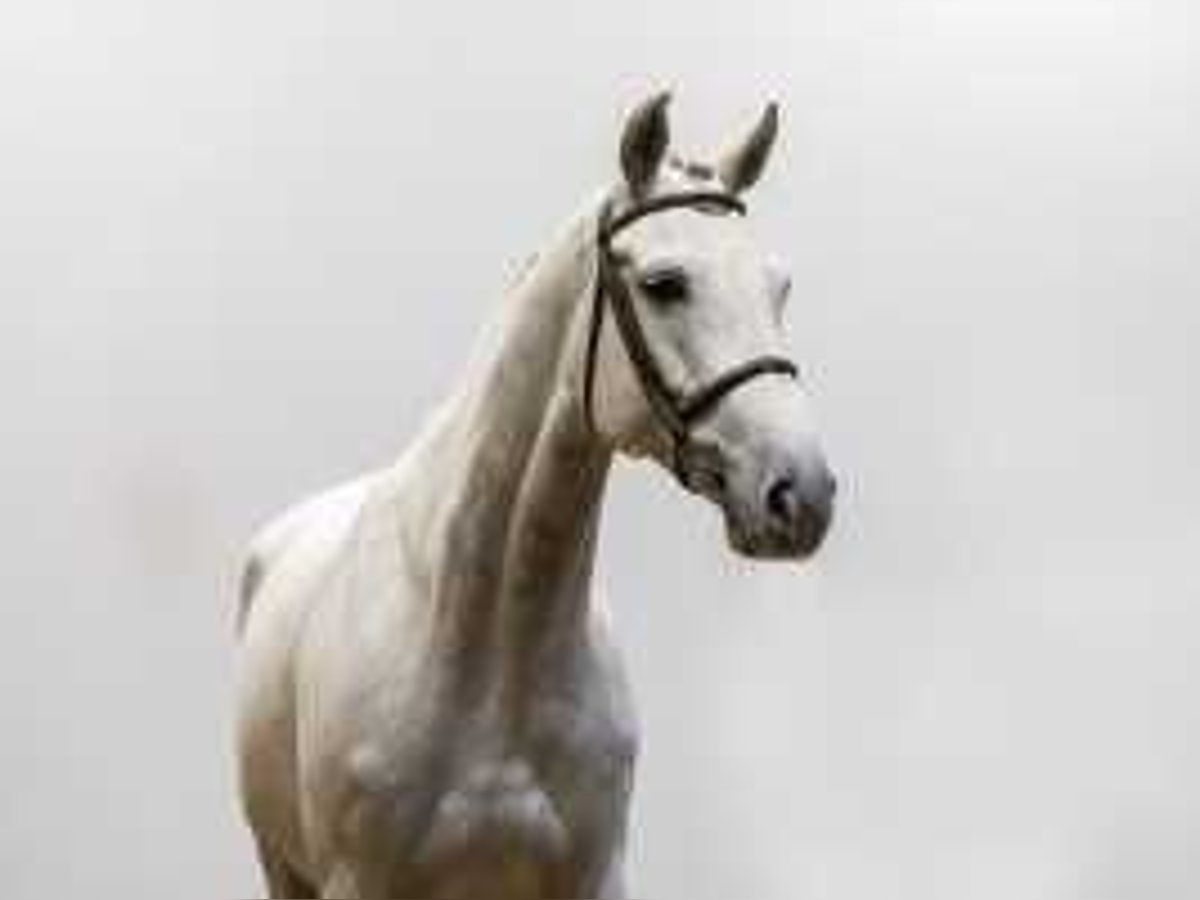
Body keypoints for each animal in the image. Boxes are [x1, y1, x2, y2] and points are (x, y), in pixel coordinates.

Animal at [234, 93, 835, 900]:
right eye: (665, 283)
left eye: (778, 287)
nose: (801, 493)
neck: (487, 643)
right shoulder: (356, 882)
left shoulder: (591, 876)